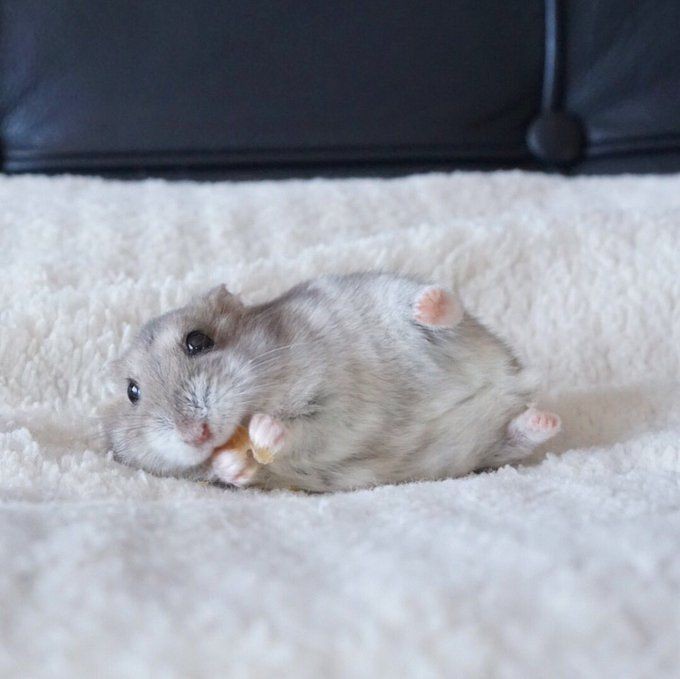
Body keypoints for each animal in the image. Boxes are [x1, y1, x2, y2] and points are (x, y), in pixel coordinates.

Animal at [103, 273, 560, 492]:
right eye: (132, 392)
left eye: (198, 341)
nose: (194, 434)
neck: (259, 400)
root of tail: (511, 379)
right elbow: (236, 469)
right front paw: (231, 462)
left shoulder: (329, 402)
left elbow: (302, 428)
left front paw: (264, 430)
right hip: (486, 450)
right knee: (515, 436)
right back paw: (543, 422)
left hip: (408, 308)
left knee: (442, 311)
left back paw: (429, 305)